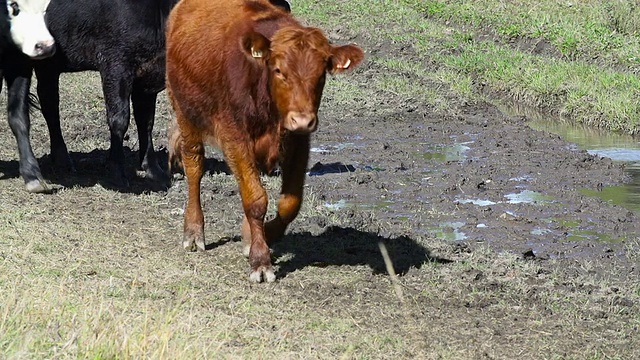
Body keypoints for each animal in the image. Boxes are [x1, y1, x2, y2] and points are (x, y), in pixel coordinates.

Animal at [166, 0, 364, 282]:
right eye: (279, 70)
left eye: (321, 74)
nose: (302, 119)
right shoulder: (235, 137)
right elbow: (255, 199)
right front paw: (260, 259)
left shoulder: (299, 142)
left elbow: (290, 203)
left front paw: (256, 235)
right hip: (186, 113)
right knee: (194, 167)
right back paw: (193, 231)